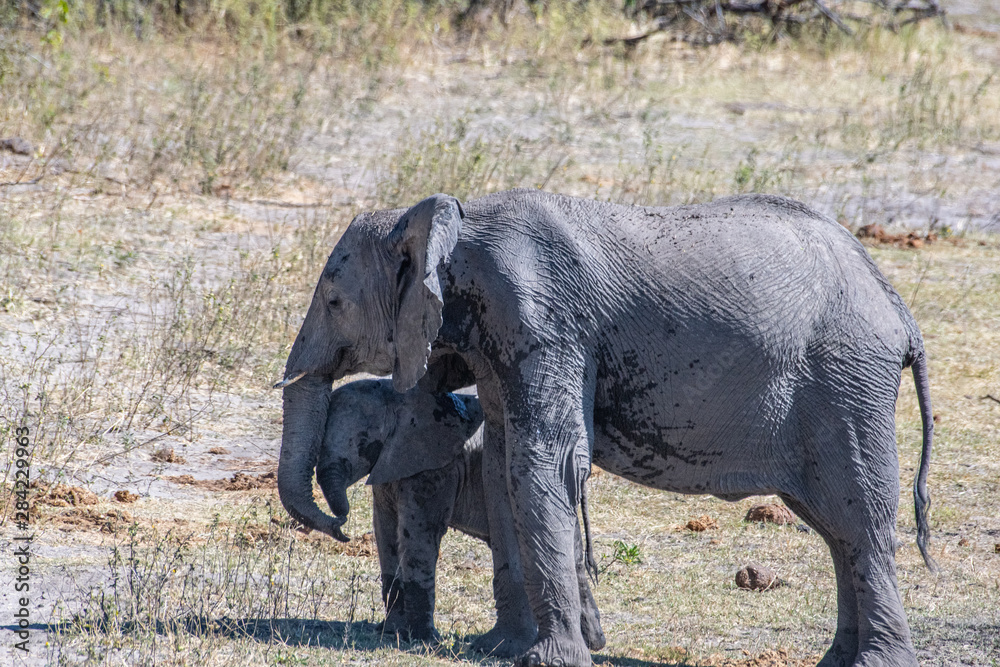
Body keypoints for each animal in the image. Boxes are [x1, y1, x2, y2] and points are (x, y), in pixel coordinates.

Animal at [278, 377, 605, 651]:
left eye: (360, 441)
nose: (341, 525)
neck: (395, 395)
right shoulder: (392, 462)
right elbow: (386, 533)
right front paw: (390, 632)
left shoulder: (435, 466)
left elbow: (420, 534)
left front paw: (419, 640)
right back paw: (593, 644)